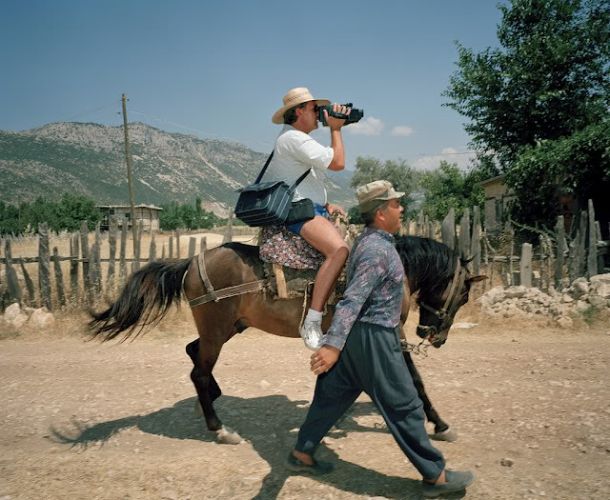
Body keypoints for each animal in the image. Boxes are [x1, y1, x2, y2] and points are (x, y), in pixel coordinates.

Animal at [88, 236, 482, 444]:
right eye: (463, 294)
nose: (433, 336)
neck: (386, 270)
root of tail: (191, 261)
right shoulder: (388, 331)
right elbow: (414, 379)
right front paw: (439, 424)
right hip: (217, 330)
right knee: (198, 370)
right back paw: (219, 428)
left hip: (229, 327)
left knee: (193, 353)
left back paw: (213, 397)